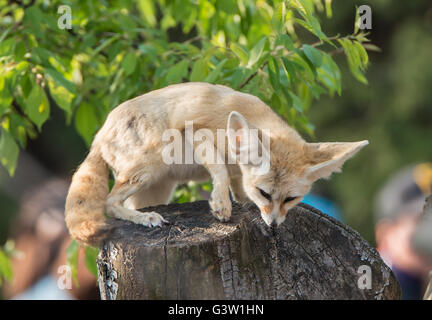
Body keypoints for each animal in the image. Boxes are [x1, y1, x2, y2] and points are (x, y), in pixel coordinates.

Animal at [65, 82, 368, 245]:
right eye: (265, 193)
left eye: (291, 199)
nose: (273, 226)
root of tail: (99, 134)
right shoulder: (195, 133)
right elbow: (220, 169)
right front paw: (221, 204)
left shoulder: (238, 170)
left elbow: (236, 182)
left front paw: (239, 201)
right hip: (154, 161)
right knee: (109, 204)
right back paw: (145, 218)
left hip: (156, 189)